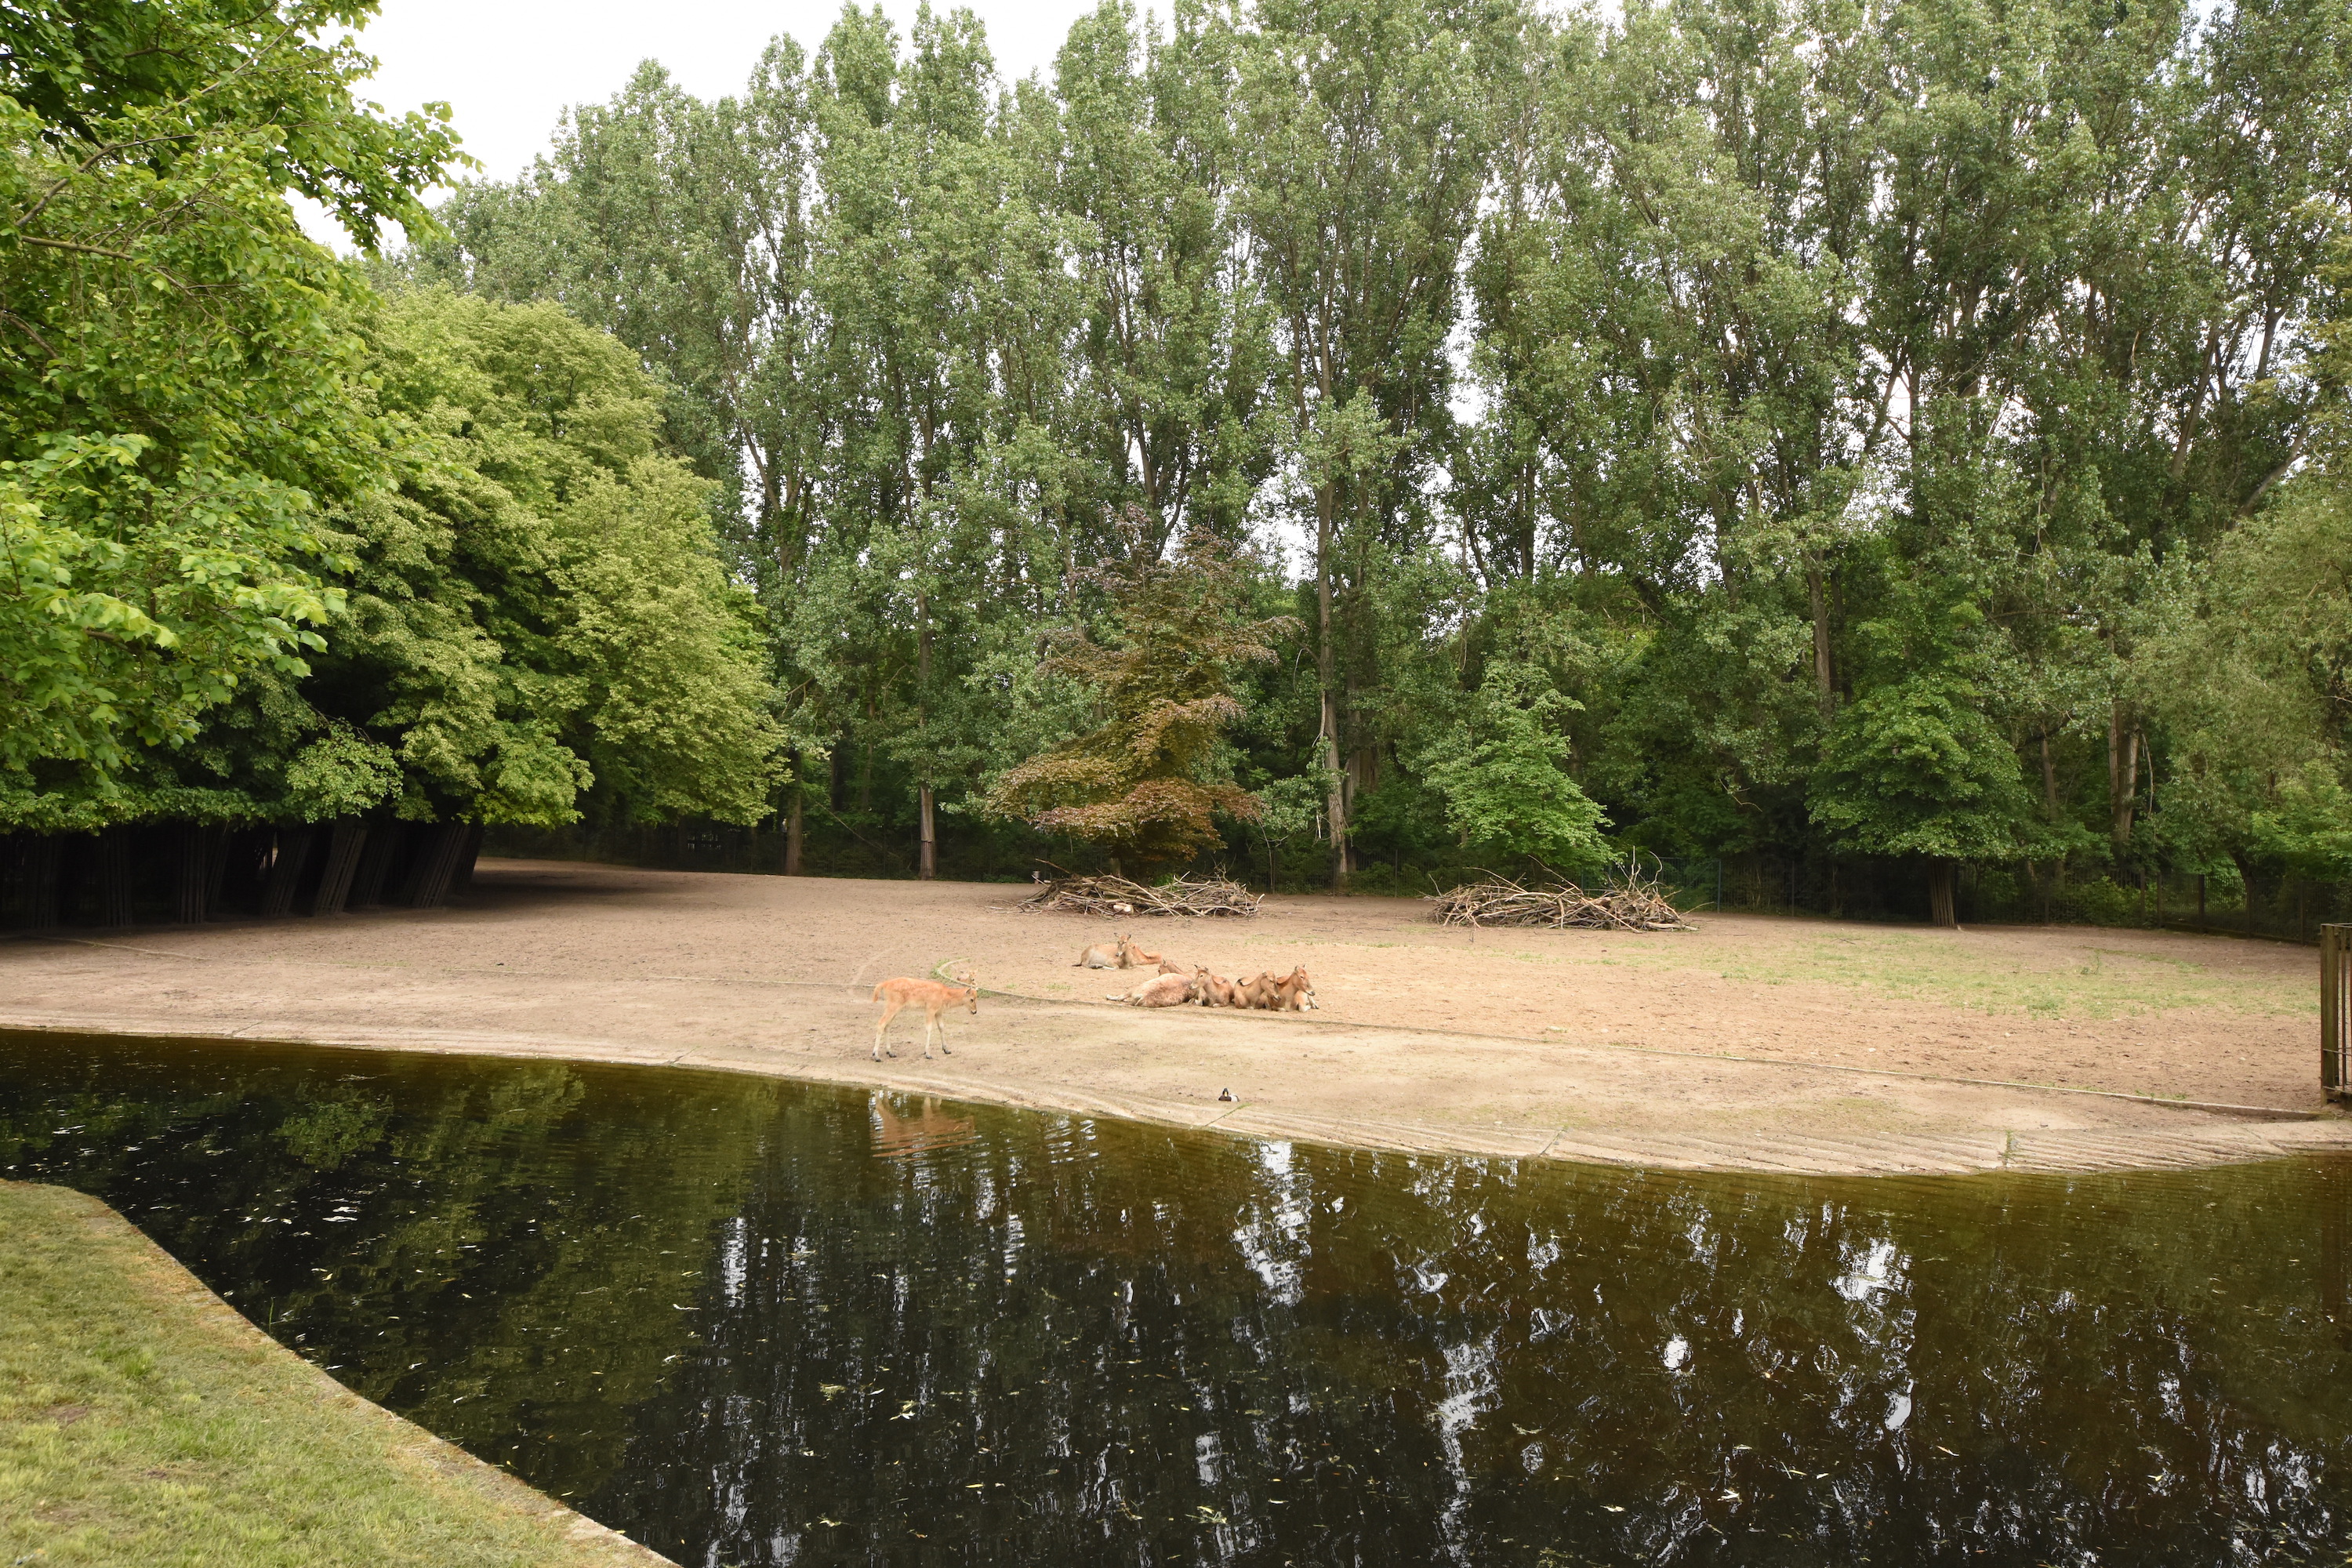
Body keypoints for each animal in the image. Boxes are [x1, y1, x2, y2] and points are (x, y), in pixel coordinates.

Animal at [871, 976, 978, 1060]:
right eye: (971, 999)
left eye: (976, 998)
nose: (975, 1011)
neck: (944, 994)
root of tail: (884, 984)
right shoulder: (930, 1009)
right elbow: (929, 1029)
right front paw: (928, 1054)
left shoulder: (939, 1012)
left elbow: (941, 1027)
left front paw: (946, 1050)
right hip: (893, 1006)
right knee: (881, 1023)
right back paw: (876, 1056)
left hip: (894, 1008)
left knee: (887, 1025)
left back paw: (890, 1052)